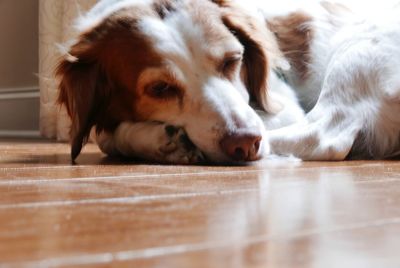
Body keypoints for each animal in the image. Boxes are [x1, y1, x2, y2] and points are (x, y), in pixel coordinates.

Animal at [57, 0, 400, 164]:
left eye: (233, 60)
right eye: (160, 89)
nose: (245, 143)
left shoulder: (281, 108)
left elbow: (108, 135)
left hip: (358, 47)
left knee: (323, 138)